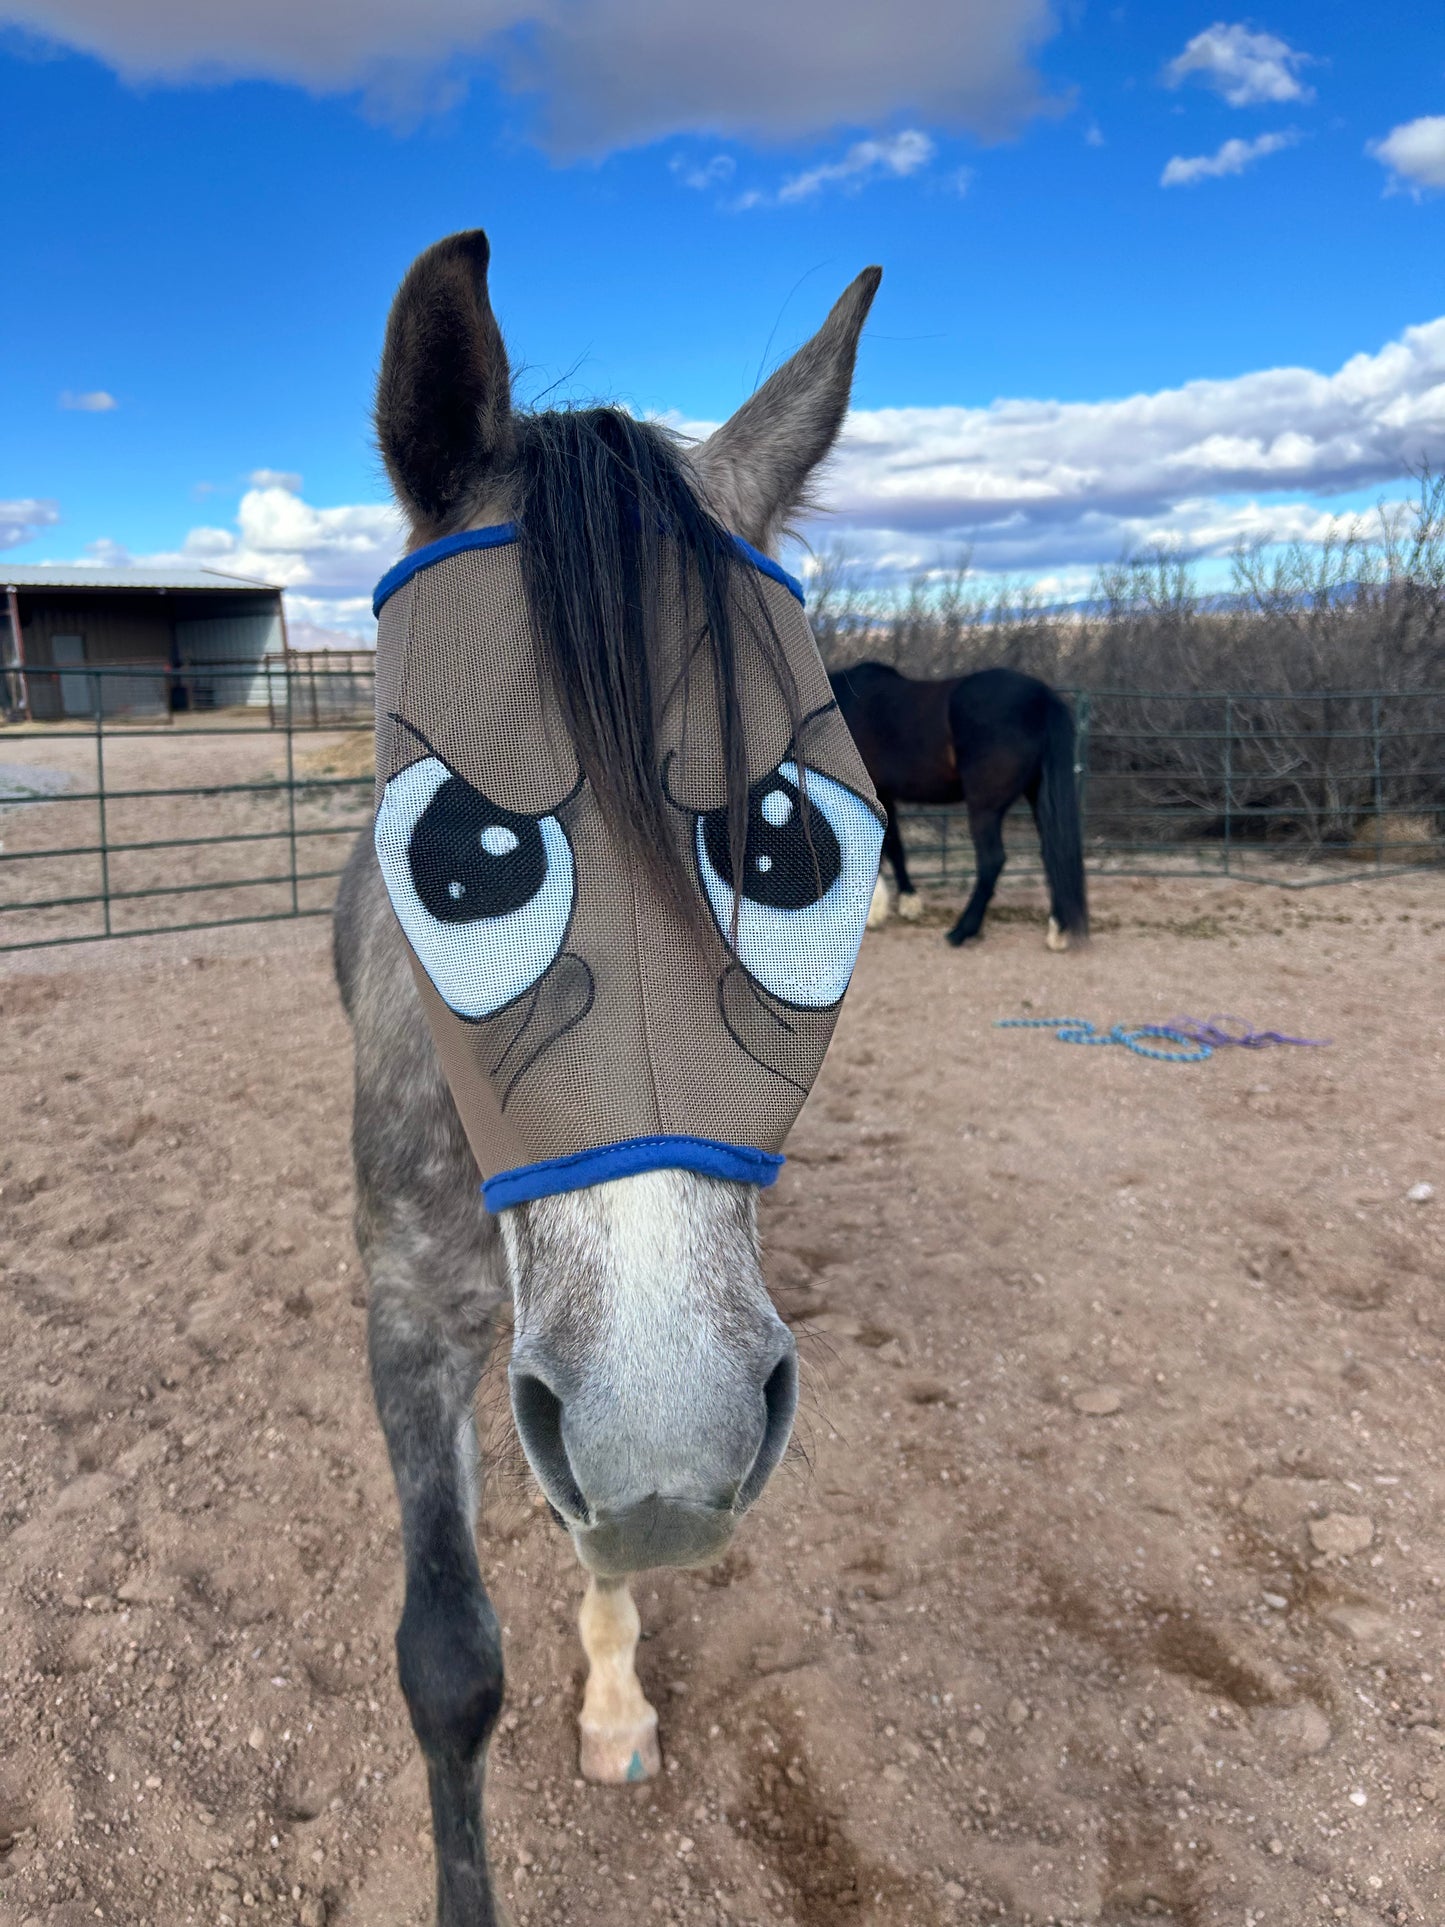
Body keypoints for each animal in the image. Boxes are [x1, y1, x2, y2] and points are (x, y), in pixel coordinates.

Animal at [337, 233, 882, 1919]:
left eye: (784, 847)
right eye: (465, 859)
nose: (669, 1426)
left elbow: (605, 1528)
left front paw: (619, 1699)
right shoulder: (410, 1314)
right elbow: (445, 1659)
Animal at [832, 666, 1094, 951]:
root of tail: (1043, 697)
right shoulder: (885, 795)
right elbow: (895, 847)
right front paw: (908, 903)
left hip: (985, 808)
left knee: (992, 861)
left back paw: (961, 931)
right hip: (1037, 795)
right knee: (1052, 852)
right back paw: (1058, 930)